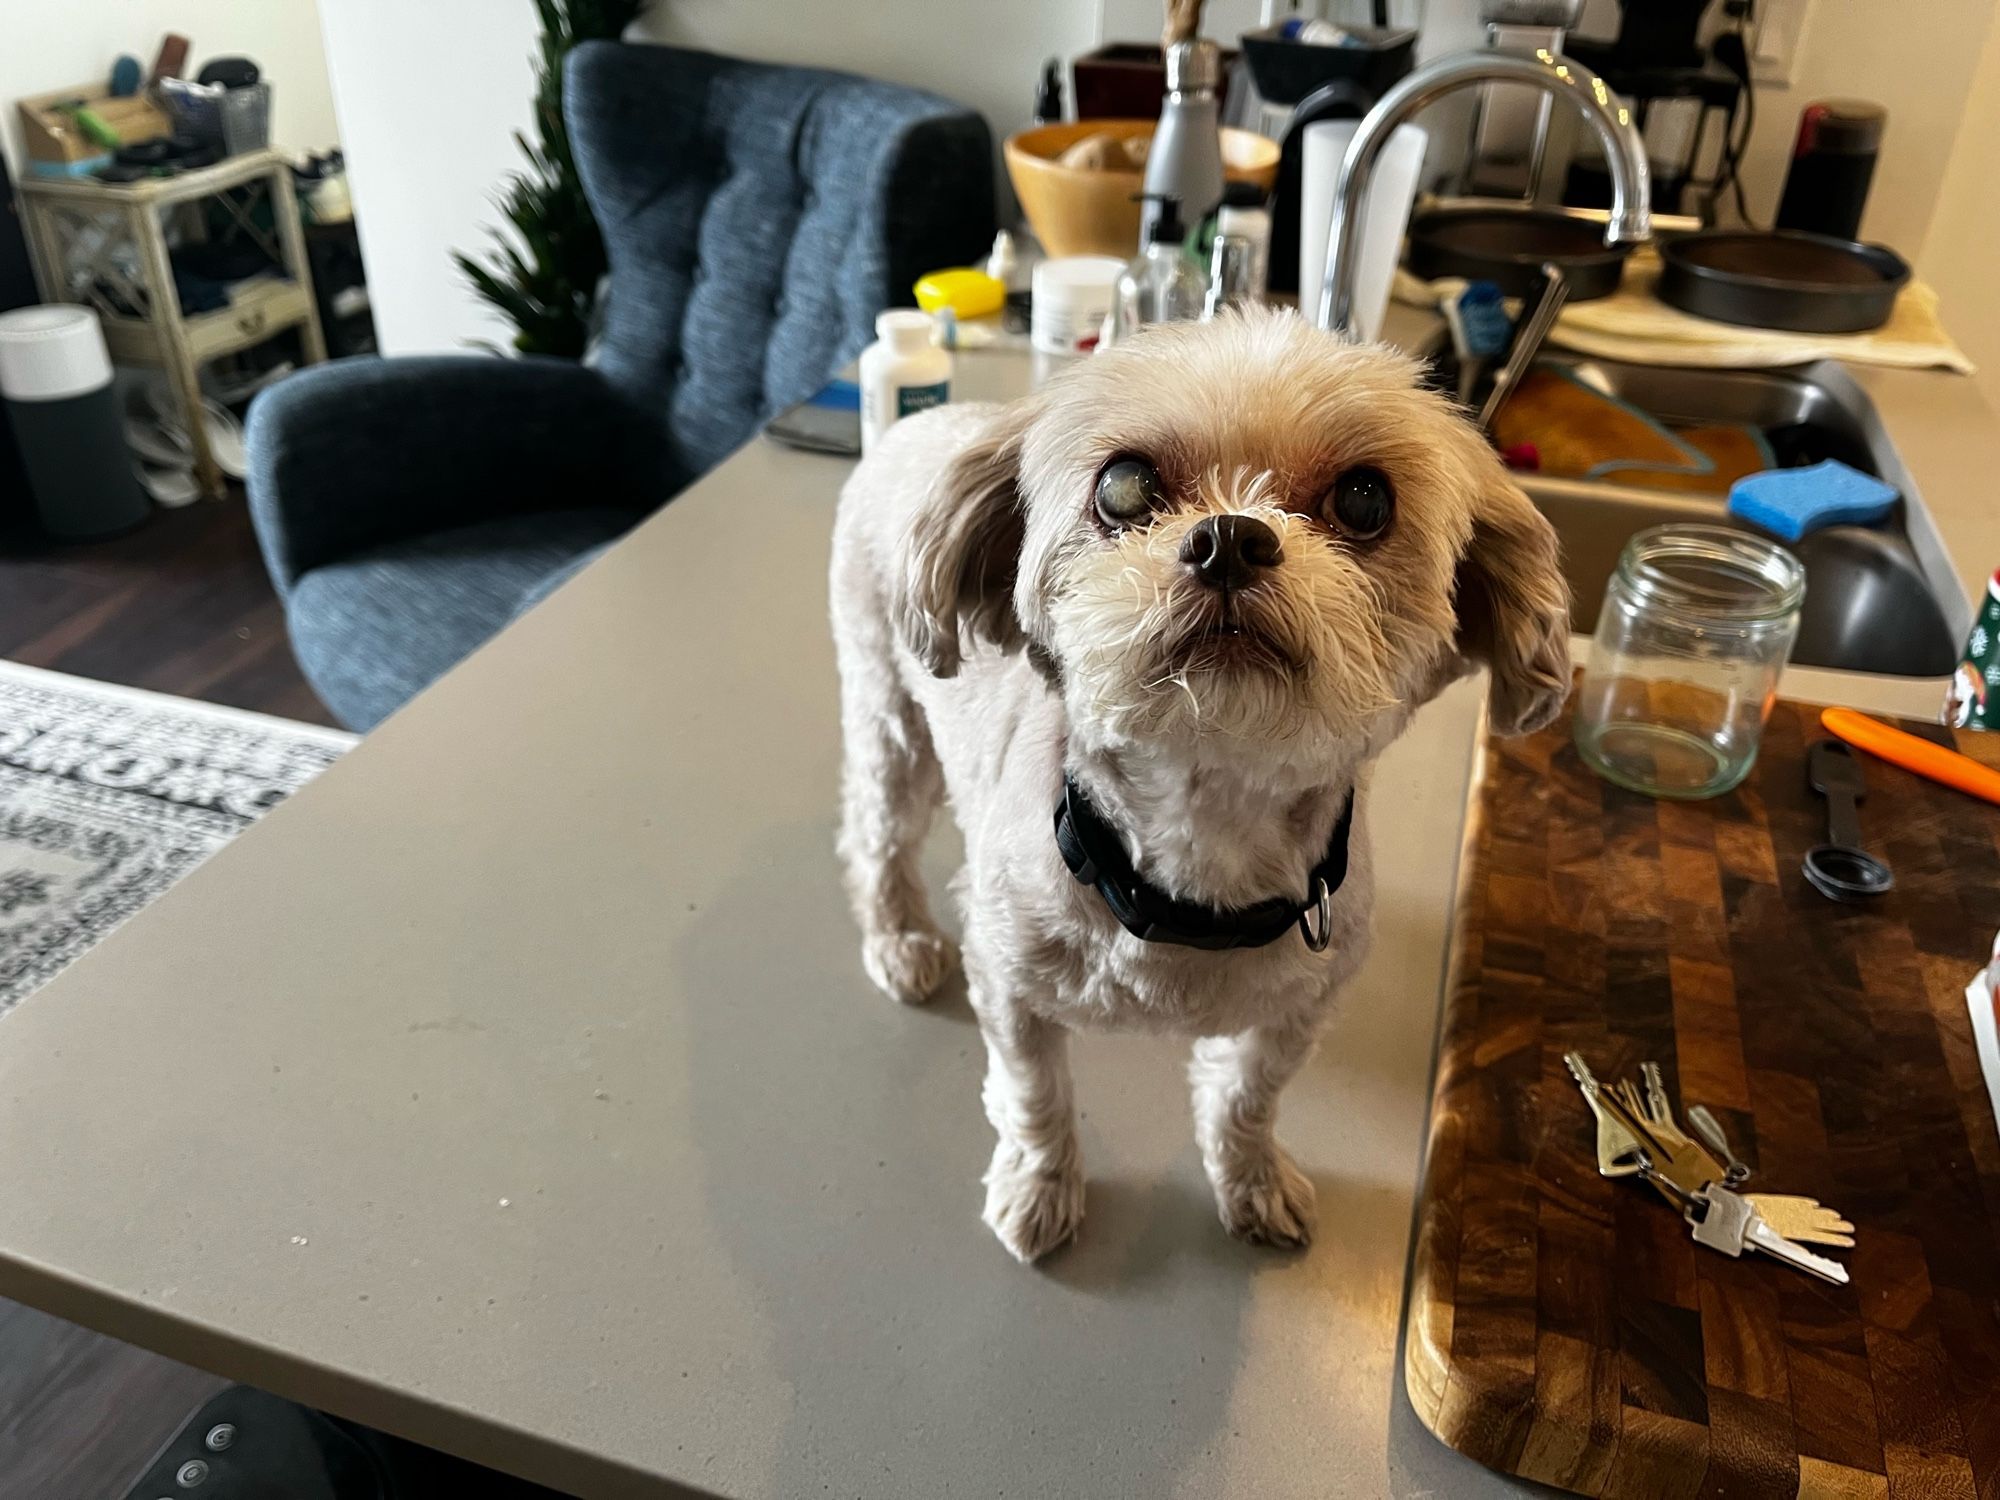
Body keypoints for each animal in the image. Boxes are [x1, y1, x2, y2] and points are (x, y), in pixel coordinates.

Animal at [824, 308, 1560, 1272]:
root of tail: (920, 423)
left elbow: (1247, 1095)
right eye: (1125, 486)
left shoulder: (1299, 1008)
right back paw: (898, 938)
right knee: (876, 835)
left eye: (1366, 501)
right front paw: (1041, 1187)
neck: (1203, 839)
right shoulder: (1009, 981)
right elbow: (1034, 1098)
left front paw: (1249, 1180)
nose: (1230, 538)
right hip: (892, 717)